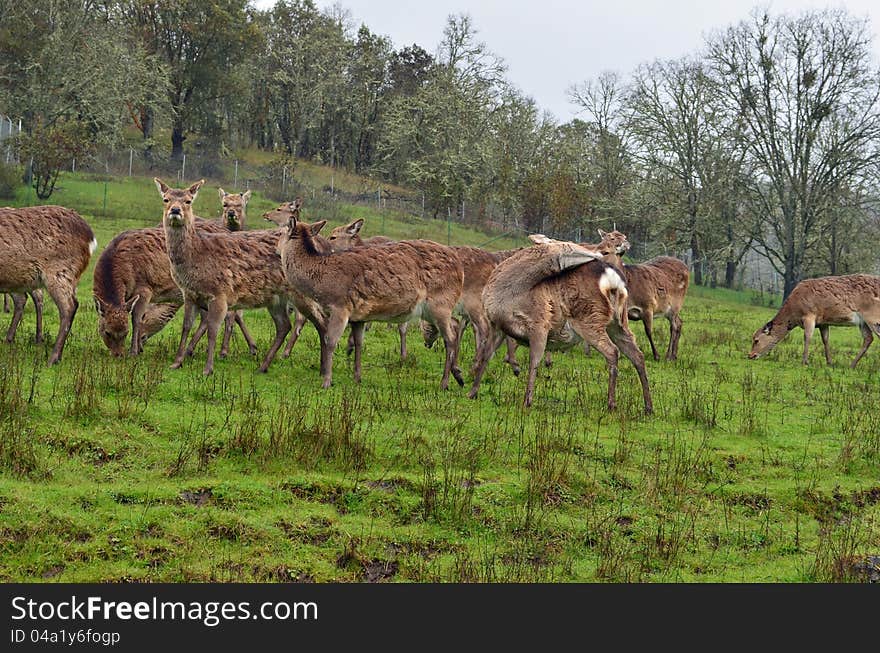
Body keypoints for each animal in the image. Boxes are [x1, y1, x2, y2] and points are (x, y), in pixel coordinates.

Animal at [156, 177, 294, 376]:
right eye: (165, 199)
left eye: (189, 201)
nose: (175, 210)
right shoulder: (189, 294)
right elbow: (186, 326)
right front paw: (176, 362)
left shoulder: (220, 293)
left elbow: (213, 330)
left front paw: (208, 368)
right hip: (276, 298)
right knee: (284, 326)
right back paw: (263, 366)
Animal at [280, 214, 468, 390]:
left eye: (281, 232)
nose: (276, 246)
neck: (321, 281)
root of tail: (460, 268)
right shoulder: (358, 316)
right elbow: (358, 343)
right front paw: (357, 378)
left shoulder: (340, 307)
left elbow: (331, 341)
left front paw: (326, 381)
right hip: (433, 310)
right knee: (454, 327)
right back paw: (458, 375)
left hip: (440, 304)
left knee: (450, 338)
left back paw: (445, 382)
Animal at [596, 229, 692, 362]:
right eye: (606, 238)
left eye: (605, 252)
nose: (625, 244)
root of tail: (687, 267)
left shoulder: (648, 305)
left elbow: (648, 331)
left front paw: (656, 355)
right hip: (668, 309)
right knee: (680, 322)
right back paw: (674, 355)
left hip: (676, 304)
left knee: (674, 325)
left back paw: (668, 355)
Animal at [744, 274, 880, 366]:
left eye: (756, 340)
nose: (750, 355)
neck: (794, 313)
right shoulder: (823, 322)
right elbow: (825, 339)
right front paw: (829, 362)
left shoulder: (809, 315)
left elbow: (807, 337)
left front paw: (804, 361)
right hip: (863, 321)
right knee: (868, 338)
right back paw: (852, 365)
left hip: (872, 316)